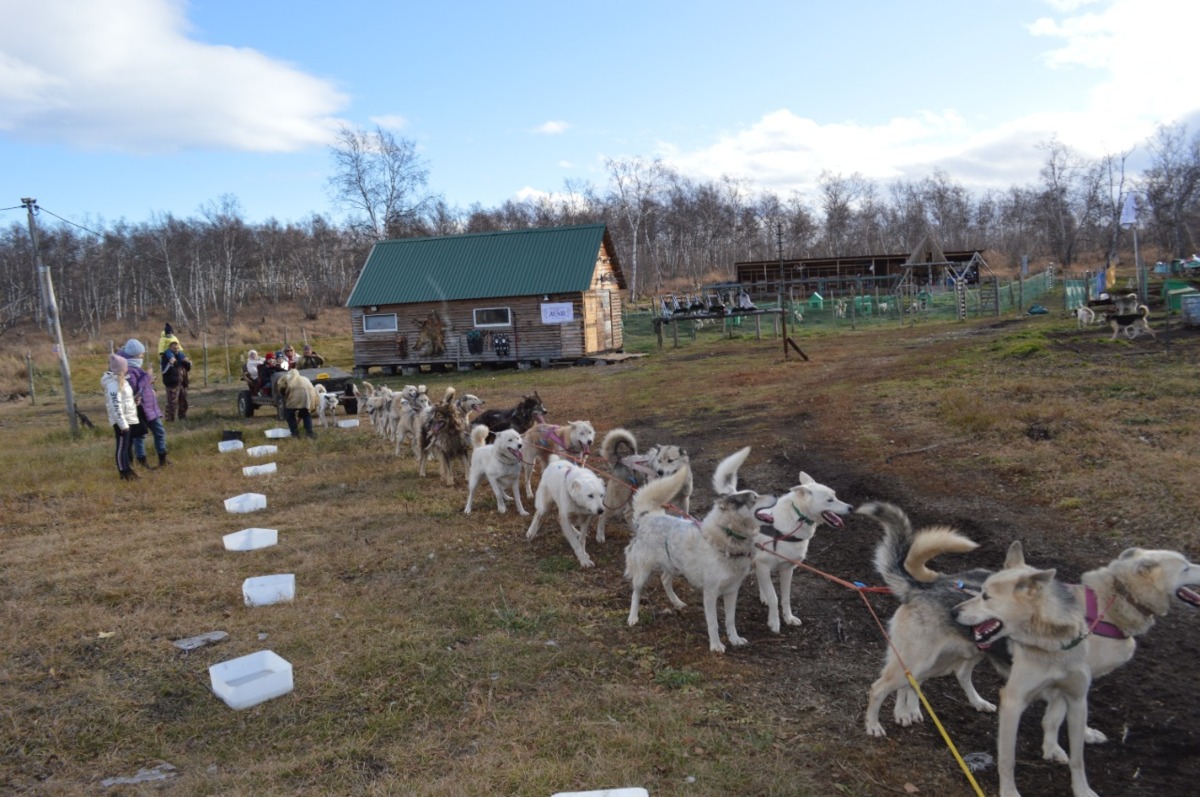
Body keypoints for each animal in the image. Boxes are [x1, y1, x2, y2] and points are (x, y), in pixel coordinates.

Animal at [624, 448, 772, 652]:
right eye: (754, 498)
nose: (776, 496)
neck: (726, 538)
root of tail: (648, 516)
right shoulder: (710, 594)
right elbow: (714, 623)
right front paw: (716, 645)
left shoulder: (732, 591)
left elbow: (730, 620)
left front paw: (734, 639)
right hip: (643, 572)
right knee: (635, 593)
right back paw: (633, 617)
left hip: (674, 566)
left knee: (664, 580)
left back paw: (677, 602)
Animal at [753, 472, 849, 633]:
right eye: (829, 500)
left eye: (835, 496)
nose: (851, 507)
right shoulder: (763, 565)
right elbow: (774, 598)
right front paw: (774, 622)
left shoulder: (786, 568)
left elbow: (785, 598)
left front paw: (789, 618)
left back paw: (763, 596)